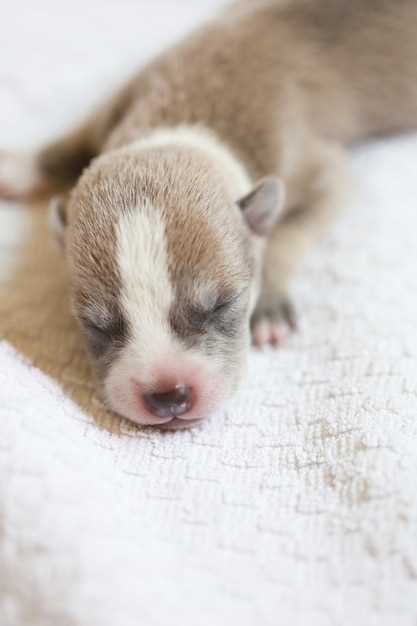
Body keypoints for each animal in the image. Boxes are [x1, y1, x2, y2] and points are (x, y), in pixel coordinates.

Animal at [0, 0, 416, 426]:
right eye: (95, 325)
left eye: (223, 304)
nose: (168, 395)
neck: (181, 124)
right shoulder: (120, 101)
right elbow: (69, 143)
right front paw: (20, 166)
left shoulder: (320, 172)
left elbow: (288, 233)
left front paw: (269, 308)